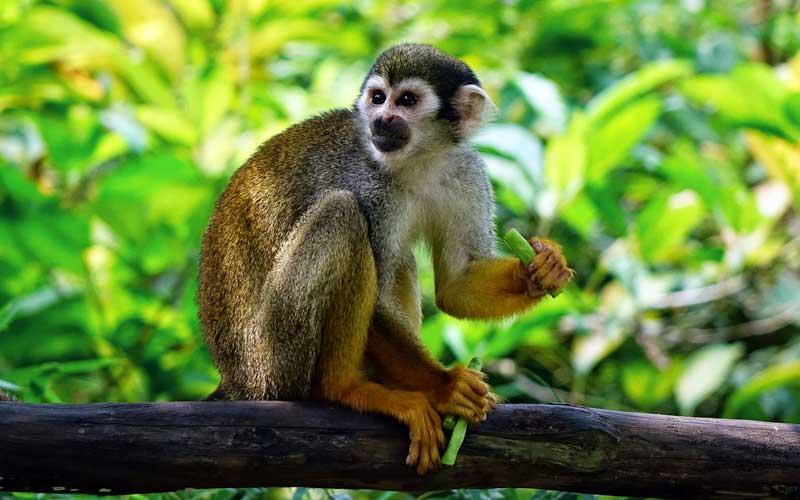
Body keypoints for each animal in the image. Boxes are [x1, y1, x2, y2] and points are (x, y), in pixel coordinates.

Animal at [197, 43, 573, 474]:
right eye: (378, 98)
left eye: (406, 101)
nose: (381, 119)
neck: (418, 161)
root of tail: (237, 380)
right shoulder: (368, 185)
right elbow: (375, 303)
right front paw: (446, 387)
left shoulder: (466, 172)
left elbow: (456, 285)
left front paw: (540, 269)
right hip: (275, 358)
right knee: (343, 214)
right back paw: (344, 388)